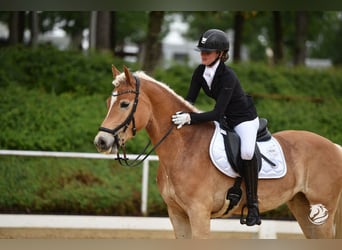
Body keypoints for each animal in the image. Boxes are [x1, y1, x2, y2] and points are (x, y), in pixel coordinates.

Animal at [93, 64, 342, 238]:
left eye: (124, 104)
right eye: (107, 103)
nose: (101, 142)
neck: (182, 148)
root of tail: (334, 146)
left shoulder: (199, 213)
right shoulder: (177, 214)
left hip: (323, 210)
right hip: (303, 207)